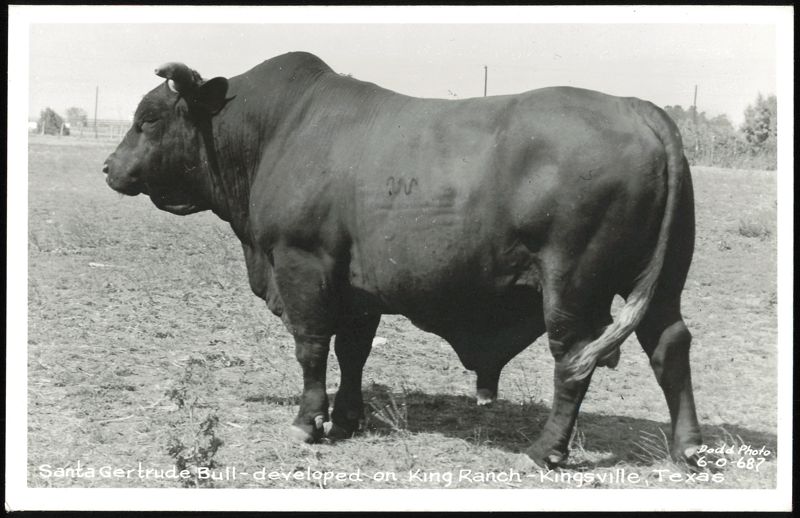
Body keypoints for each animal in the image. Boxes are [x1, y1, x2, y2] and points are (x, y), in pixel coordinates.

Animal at [103, 52, 701, 468]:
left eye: (149, 119)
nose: (109, 167)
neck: (275, 130)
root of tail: (636, 107)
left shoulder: (302, 265)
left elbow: (311, 347)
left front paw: (308, 421)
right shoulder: (357, 288)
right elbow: (354, 352)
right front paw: (346, 419)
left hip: (573, 284)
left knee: (574, 359)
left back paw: (544, 450)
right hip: (661, 281)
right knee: (670, 344)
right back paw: (689, 449)